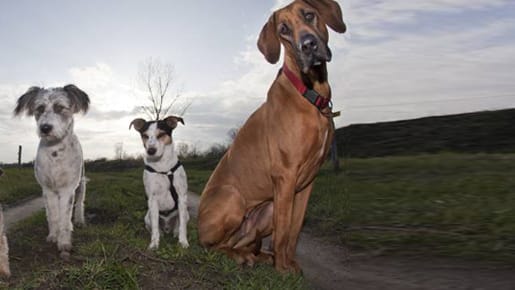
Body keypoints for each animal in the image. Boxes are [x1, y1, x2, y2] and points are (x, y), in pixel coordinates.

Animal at [13, 84, 88, 258]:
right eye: (40, 108)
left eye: (60, 107)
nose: (45, 128)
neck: (55, 151)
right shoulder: (47, 189)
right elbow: (54, 215)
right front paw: (54, 236)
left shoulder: (68, 188)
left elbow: (65, 217)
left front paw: (64, 243)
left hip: (81, 183)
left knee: (79, 203)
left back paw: (79, 220)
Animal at [130, 115, 190, 249]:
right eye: (145, 135)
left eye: (161, 134)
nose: (151, 150)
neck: (163, 167)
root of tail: (167, 228)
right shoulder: (152, 199)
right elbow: (155, 228)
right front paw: (154, 244)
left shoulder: (182, 197)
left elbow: (183, 226)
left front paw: (183, 242)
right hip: (147, 217)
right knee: (154, 227)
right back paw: (161, 234)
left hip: (186, 214)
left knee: (179, 225)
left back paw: (175, 233)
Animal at [199, 0, 346, 274]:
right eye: (283, 30)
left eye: (309, 15)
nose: (308, 45)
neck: (309, 93)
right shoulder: (285, 175)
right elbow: (284, 232)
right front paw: (283, 270)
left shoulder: (306, 183)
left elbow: (294, 231)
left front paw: (289, 264)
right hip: (234, 199)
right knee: (211, 246)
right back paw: (241, 257)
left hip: (265, 210)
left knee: (240, 243)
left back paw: (256, 256)